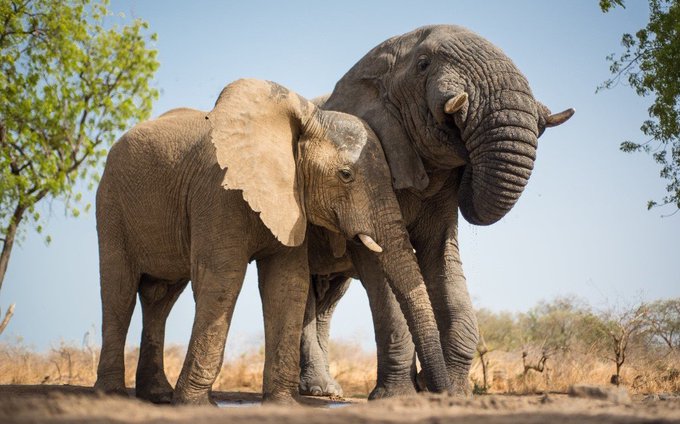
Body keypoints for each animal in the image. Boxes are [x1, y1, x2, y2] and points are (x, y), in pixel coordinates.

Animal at [93, 78, 451, 405]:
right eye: (346, 175)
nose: (440, 391)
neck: (304, 120)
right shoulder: (218, 193)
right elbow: (221, 280)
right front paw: (196, 404)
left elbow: (287, 285)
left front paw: (283, 403)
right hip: (111, 203)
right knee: (120, 290)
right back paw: (113, 395)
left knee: (160, 297)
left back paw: (157, 394)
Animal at [298, 24, 574, 398]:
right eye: (423, 65)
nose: (431, 385)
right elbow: (382, 273)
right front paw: (399, 396)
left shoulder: (442, 193)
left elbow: (441, 258)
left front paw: (453, 392)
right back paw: (318, 391)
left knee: (328, 298)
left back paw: (324, 391)